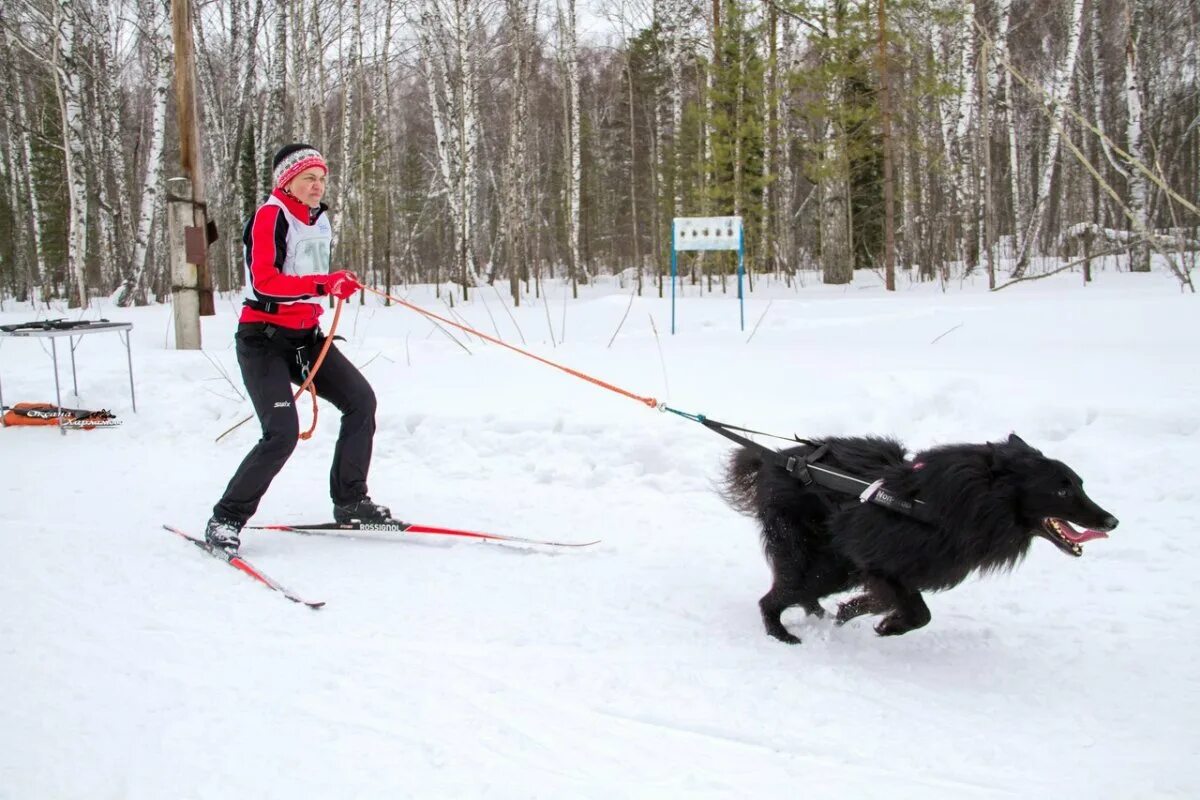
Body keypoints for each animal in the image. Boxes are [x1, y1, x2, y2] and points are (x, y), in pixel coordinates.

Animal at [715, 434, 1118, 642]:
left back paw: (818, 615)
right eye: (1062, 491)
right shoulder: (878, 560)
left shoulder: (886, 570)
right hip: (820, 561)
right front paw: (888, 626)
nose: (1112, 521)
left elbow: (890, 602)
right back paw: (781, 634)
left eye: (1079, 484)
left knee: (797, 593)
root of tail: (778, 460)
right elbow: (919, 612)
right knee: (774, 598)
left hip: (832, 564)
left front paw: (853, 612)